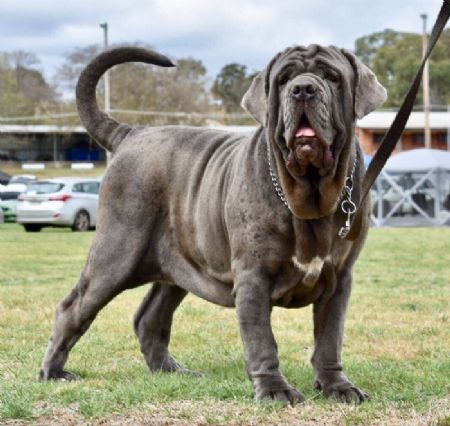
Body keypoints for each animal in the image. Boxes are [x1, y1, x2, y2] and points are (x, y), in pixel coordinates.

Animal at [39, 45, 386, 404]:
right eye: (284, 79)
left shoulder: (339, 278)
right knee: (72, 308)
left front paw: (338, 387)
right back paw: (54, 372)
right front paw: (275, 390)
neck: (308, 191)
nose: (303, 89)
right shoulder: (253, 277)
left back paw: (171, 371)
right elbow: (262, 340)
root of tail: (132, 133)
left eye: (331, 76)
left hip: (174, 268)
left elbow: (329, 339)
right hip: (116, 255)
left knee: (149, 318)